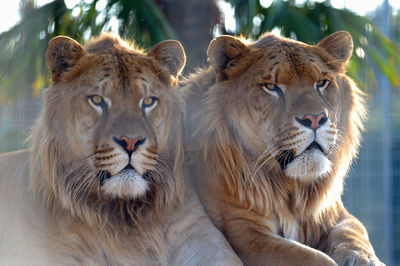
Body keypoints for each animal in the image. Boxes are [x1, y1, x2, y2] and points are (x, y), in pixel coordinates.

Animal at [184, 30, 384, 264]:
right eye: (271, 87)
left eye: (321, 83)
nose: (315, 119)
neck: (292, 188)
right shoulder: (242, 233)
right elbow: (311, 258)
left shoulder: (335, 213)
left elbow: (353, 232)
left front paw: (364, 258)